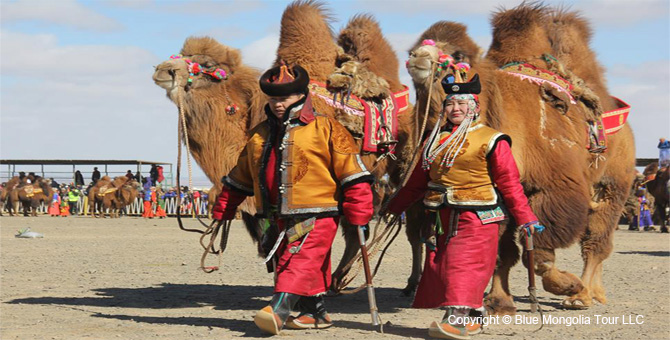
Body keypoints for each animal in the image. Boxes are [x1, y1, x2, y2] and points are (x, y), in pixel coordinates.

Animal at [410, 3, 636, 314]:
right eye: (417, 45)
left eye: (457, 55)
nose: (417, 57)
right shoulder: (500, 192)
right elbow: (501, 251)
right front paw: (498, 302)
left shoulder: (554, 186)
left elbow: (540, 253)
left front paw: (568, 286)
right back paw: (595, 293)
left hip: (614, 184)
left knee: (596, 241)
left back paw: (584, 294)